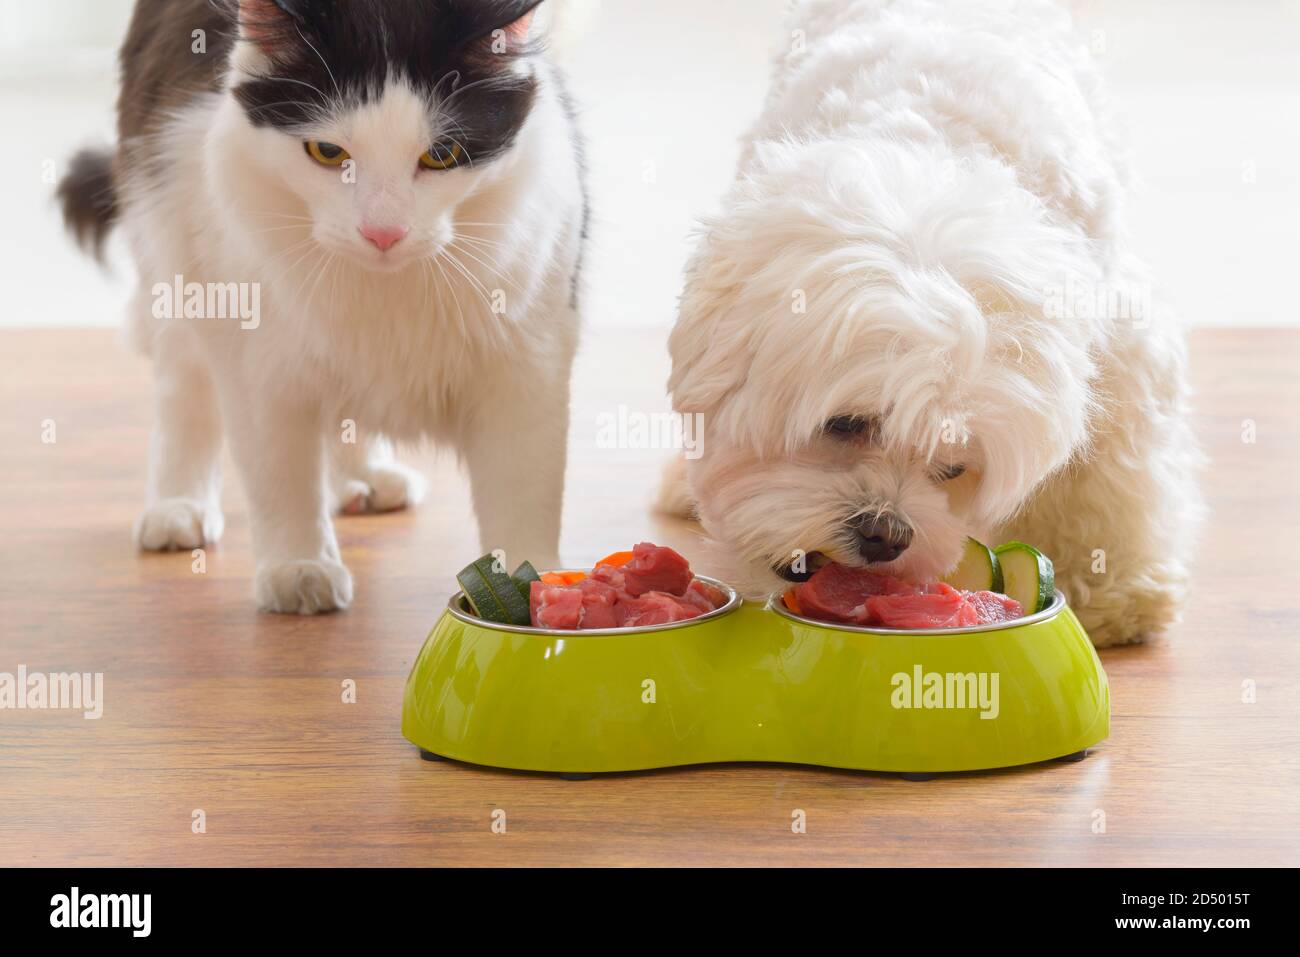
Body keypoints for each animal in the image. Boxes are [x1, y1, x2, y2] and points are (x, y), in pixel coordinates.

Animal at [59, 0, 590, 613]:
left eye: (441, 156)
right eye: (328, 152)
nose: (383, 232)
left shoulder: (530, 361)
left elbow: (524, 495)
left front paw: (541, 589)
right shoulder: (257, 357)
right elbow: (280, 476)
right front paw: (299, 567)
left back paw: (366, 477)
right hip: (174, 245)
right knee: (184, 391)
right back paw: (177, 507)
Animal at [665, 0, 1201, 650]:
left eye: (953, 468)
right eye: (846, 424)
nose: (886, 533)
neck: (934, 149)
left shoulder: (1121, 340)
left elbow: (1109, 472)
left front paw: (1113, 590)